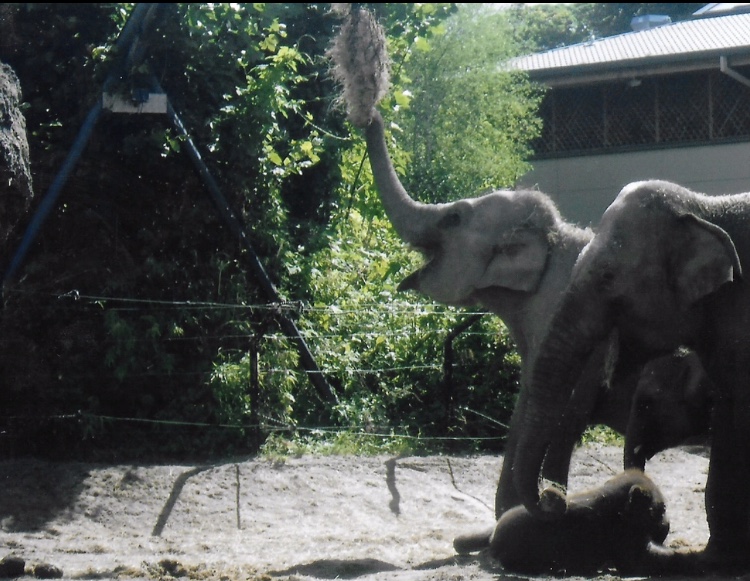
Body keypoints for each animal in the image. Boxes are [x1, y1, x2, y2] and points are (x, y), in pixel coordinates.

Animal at [326, 6, 713, 523]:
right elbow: (527, 393)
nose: (367, 105)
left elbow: (565, 403)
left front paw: (542, 509)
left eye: (453, 218)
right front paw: (511, 514)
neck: (551, 239)